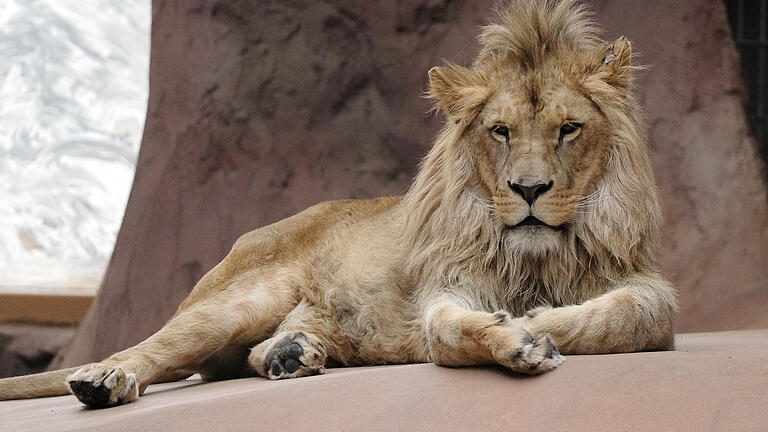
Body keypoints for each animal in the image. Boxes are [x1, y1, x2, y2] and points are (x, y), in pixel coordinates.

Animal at [0, 0, 676, 408]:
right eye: (501, 132)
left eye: (568, 130)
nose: (529, 190)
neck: (535, 256)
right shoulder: (446, 288)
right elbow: (447, 329)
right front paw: (516, 336)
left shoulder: (646, 289)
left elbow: (624, 317)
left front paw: (536, 322)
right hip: (235, 301)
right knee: (155, 350)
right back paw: (104, 379)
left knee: (243, 357)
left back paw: (292, 353)